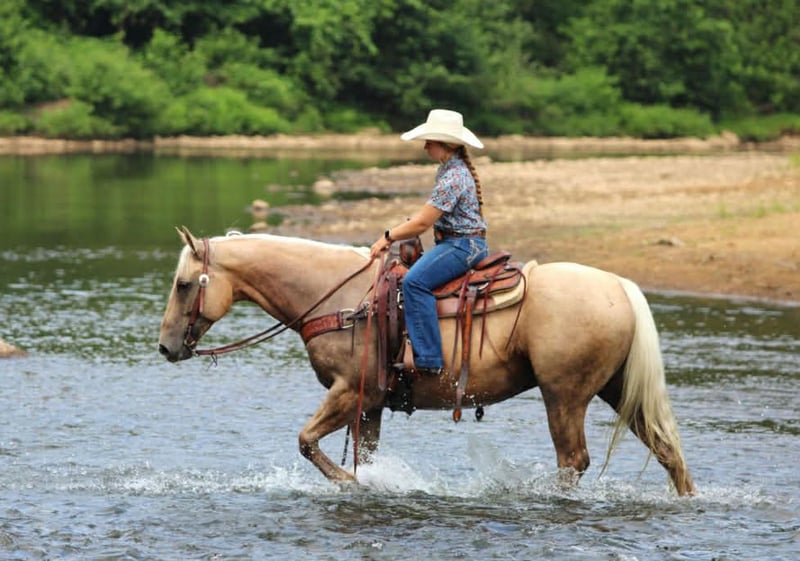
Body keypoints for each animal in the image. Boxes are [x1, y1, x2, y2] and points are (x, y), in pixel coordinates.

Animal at [158, 227, 696, 496]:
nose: (165, 347)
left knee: (573, 461)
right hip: (616, 388)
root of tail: (618, 286)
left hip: (564, 395)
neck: (340, 297)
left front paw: (347, 481)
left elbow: (307, 441)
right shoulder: (370, 404)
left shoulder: (350, 391)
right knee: (667, 449)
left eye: (184, 284)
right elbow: (366, 453)